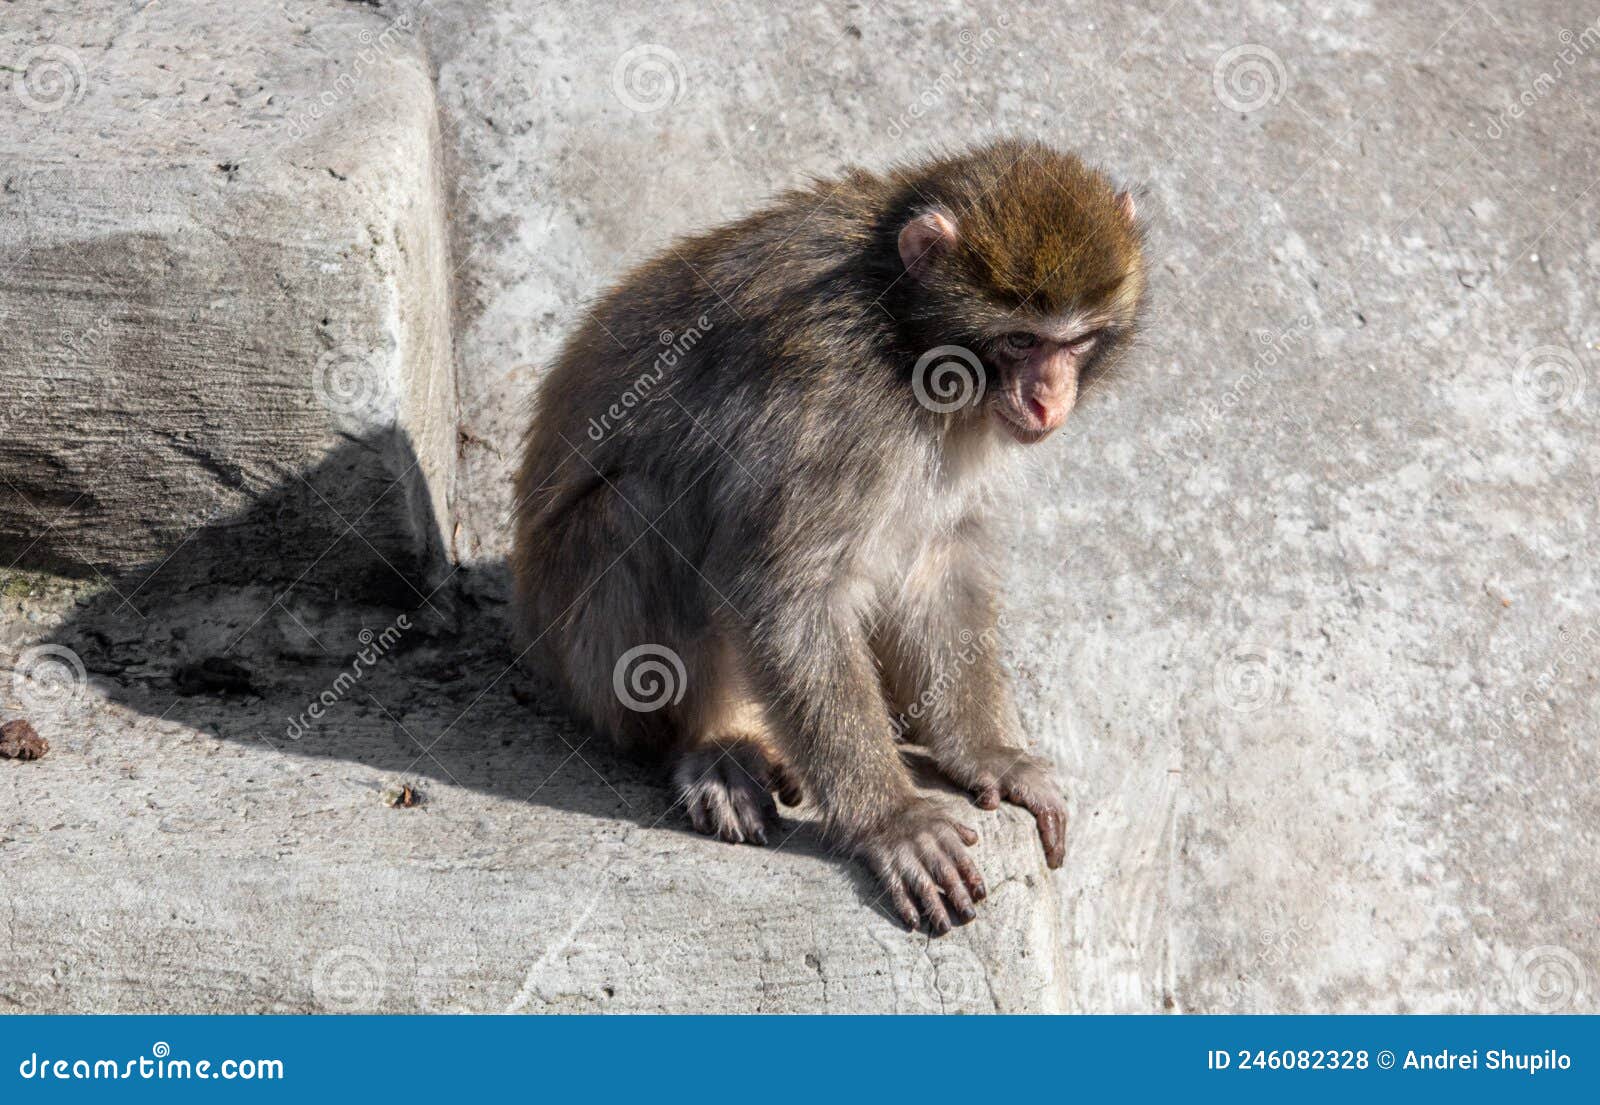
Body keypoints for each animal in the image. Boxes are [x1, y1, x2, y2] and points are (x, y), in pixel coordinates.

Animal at [512, 138, 1146, 934]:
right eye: (1019, 339)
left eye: (1078, 341)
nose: (1046, 398)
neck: (905, 338)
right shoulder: (836, 401)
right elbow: (783, 593)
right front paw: (892, 818)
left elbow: (939, 564)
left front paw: (988, 753)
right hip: (584, 656)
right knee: (645, 505)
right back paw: (713, 743)